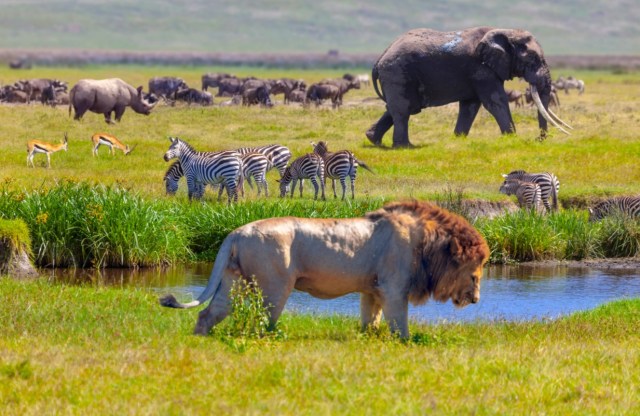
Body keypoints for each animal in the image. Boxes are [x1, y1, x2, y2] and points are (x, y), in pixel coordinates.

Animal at [161, 200, 490, 340]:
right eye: (475, 273)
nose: (475, 299)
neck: (428, 243)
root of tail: (236, 232)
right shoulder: (394, 287)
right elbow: (400, 324)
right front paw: (406, 343)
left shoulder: (373, 290)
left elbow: (370, 320)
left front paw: (368, 339)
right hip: (274, 286)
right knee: (263, 322)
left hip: (234, 282)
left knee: (208, 313)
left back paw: (201, 339)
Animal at [368, 25, 572, 146]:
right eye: (532, 59)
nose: (539, 139)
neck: (505, 32)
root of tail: (378, 60)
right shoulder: (481, 69)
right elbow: (495, 101)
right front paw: (512, 138)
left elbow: (470, 105)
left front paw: (458, 140)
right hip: (397, 73)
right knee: (403, 110)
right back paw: (405, 147)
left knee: (398, 108)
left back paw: (374, 140)